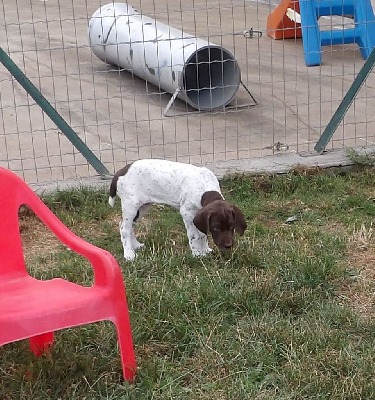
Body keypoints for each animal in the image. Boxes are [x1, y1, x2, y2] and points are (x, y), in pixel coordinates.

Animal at [109, 158, 247, 260]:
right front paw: (197, 253)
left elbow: (202, 234)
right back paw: (129, 254)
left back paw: (136, 245)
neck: (205, 186)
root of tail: (119, 173)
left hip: (143, 206)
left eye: (232, 226)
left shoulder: (200, 214)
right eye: (216, 228)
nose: (228, 246)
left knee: (129, 226)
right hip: (130, 205)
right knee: (124, 229)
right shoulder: (187, 212)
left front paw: (205, 250)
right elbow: (194, 235)